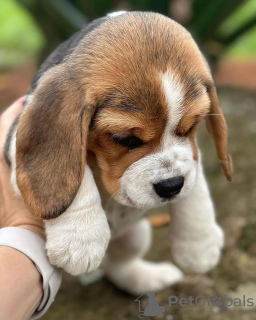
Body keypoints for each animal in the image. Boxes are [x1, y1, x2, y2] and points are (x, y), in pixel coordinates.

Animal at [4, 10, 232, 296]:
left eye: (190, 127)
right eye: (125, 139)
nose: (171, 186)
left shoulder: (190, 155)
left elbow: (194, 180)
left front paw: (199, 245)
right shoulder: (14, 137)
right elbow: (77, 173)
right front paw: (80, 238)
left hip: (137, 235)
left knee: (118, 266)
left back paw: (147, 278)